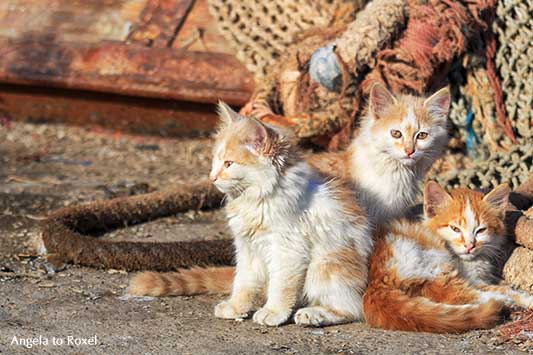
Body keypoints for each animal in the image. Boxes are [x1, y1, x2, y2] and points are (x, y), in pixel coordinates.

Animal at [128, 103, 374, 328]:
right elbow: (243, 281)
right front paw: (236, 307)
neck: (257, 199)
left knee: (349, 308)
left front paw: (273, 312)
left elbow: (281, 285)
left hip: (326, 266)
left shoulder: (287, 250)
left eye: (229, 163)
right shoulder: (247, 247)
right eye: (215, 161)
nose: (212, 178)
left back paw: (314, 314)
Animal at [362, 182, 532, 336]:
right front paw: (519, 297)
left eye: (481, 230)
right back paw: (504, 301)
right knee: (457, 294)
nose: (469, 245)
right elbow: (499, 289)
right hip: (432, 261)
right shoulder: (468, 277)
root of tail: (375, 282)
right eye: (455, 229)